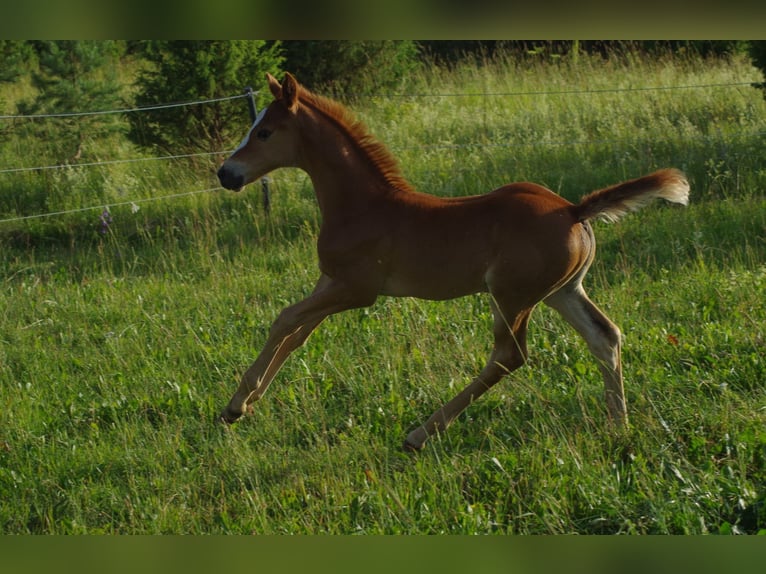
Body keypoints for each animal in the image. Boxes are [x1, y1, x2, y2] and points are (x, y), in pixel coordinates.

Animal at [216, 73, 688, 450]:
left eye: (264, 132)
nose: (225, 174)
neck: (363, 205)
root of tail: (574, 210)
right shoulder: (330, 281)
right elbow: (296, 334)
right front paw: (247, 404)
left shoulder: (357, 290)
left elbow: (283, 319)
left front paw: (237, 404)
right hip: (562, 291)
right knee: (604, 337)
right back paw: (618, 425)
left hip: (511, 295)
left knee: (509, 355)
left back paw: (420, 433)